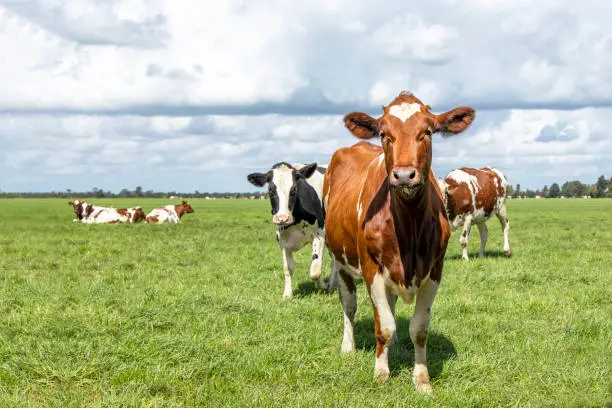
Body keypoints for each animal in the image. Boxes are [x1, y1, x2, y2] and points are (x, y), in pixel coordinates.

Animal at [246, 163, 334, 300]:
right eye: (270, 190)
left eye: (294, 190)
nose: (282, 218)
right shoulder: (283, 242)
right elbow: (288, 269)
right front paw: (287, 294)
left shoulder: (320, 235)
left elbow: (315, 269)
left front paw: (323, 286)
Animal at [322, 91, 476, 392]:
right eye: (384, 134)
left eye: (427, 132)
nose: (404, 175)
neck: (409, 227)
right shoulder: (371, 269)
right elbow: (383, 327)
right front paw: (381, 374)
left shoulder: (435, 269)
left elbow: (419, 329)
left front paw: (422, 379)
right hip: (340, 259)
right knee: (350, 304)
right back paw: (349, 346)